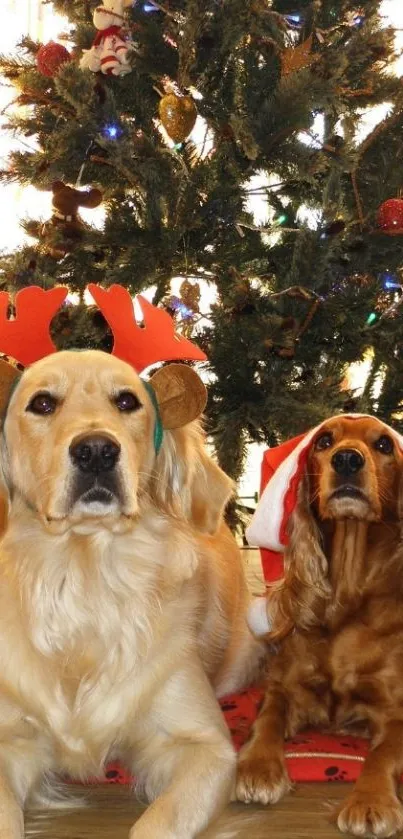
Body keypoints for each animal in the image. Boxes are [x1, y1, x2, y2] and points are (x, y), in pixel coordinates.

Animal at [0, 350, 262, 839]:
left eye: (126, 401)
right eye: (42, 403)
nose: (96, 451)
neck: (86, 575)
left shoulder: (205, 746)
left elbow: (156, 824)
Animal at [237, 416, 403, 839]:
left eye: (384, 445)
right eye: (324, 441)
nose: (347, 459)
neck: (347, 591)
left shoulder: (396, 709)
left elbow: (382, 753)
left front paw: (370, 801)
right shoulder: (288, 688)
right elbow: (268, 716)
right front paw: (258, 767)